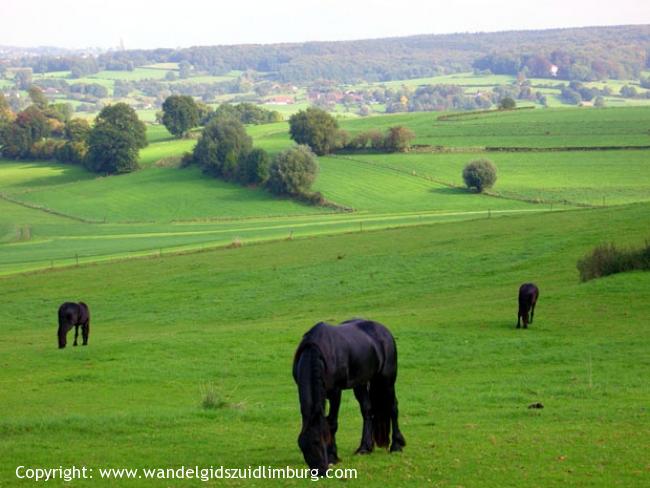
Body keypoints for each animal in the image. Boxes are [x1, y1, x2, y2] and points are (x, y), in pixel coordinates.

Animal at [294, 318, 404, 474]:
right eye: (302, 446)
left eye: (319, 441)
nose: (319, 471)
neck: (317, 350)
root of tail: (383, 330)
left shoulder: (335, 392)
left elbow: (332, 423)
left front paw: (333, 457)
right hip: (360, 384)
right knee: (367, 410)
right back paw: (364, 448)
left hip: (387, 379)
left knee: (393, 407)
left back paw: (396, 445)